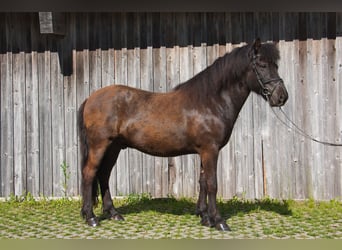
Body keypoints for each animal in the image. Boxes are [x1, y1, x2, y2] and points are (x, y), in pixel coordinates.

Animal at [78, 39, 288, 230]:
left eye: (276, 65)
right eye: (262, 65)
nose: (282, 97)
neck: (210, 102)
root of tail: (90, 98)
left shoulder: (204, 151)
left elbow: (203, 182)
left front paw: (205, 217)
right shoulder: (210, 150)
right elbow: (212, 183)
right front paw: (219, 221)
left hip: (114, 147)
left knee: (104, 175)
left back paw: (113, 213)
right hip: (100, 145)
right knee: (89, 174)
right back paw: (91, 217)